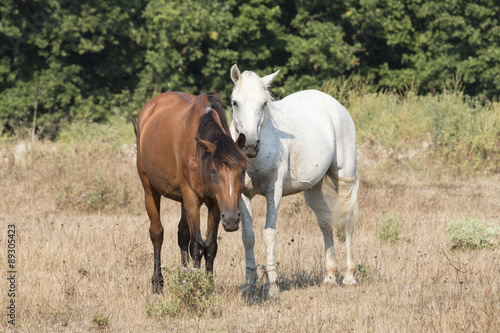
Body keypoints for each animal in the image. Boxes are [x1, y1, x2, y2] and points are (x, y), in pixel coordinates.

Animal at [137, 92, 248, 292]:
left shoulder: (214, 204)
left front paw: (208, 287)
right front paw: (196, 287)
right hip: (149, 189)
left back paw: (184, 274)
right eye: (213, 171)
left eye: (243, 170)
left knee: (182, 234)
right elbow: (197, 245)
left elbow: (210, 246)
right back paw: (158, 282)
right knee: (157, 233)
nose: (231, 219)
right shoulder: (192, 199)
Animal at [229, 63, 362, 296]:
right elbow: (248, 237)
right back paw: (329, 277)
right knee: (325, 222)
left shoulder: (274, 190)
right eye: (235, 102)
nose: (250, 145)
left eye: (264, 104)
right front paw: (249, 285)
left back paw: (348, 276)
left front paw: (272, 287)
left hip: (344, 176)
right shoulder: (243, 195)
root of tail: (334, 104)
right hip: (313, 189)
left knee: (347, 221)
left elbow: (269, 235)